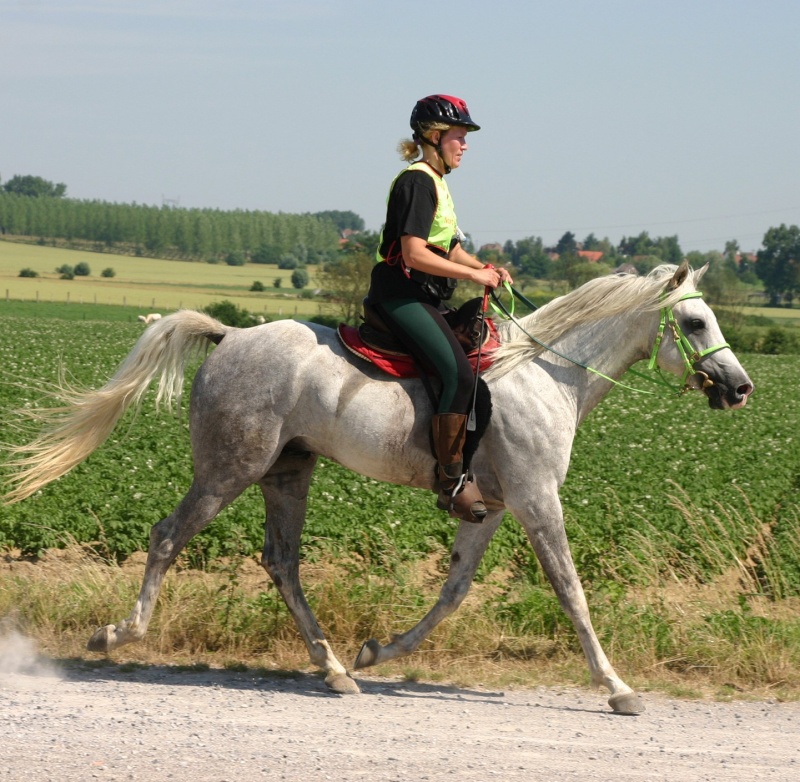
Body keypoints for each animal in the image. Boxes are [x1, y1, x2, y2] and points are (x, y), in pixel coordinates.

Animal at [4, 264, 752, 716]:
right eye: (694, 324)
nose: (741, 388)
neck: (548, 374)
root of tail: (231, 334)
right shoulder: (538, 500)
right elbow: (571, 590)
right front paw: (618, 687)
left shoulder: (489, 508)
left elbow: (453, 592)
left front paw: (379, 650)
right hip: (228, 471)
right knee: (167, 537)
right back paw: (116, 634)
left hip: (288, 473)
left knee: (281, 563)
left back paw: (338, 667)